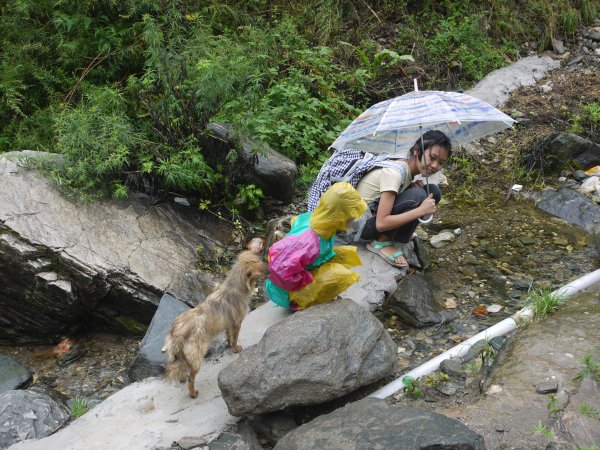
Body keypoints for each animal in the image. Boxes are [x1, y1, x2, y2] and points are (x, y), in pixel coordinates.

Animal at [163, 251, 268, 400]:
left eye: (260, 260)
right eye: (261, 269)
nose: (270, 269)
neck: (235, 287)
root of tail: (177, 333)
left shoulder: (228, 324)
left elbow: (229, 336)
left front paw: (229, 345)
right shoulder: (237, 323)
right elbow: (235, 338)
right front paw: (235, 348)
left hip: (179, 355)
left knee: (180, 368)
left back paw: (182, 377)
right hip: (197, 357)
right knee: (191, 378)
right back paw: (192, 393)